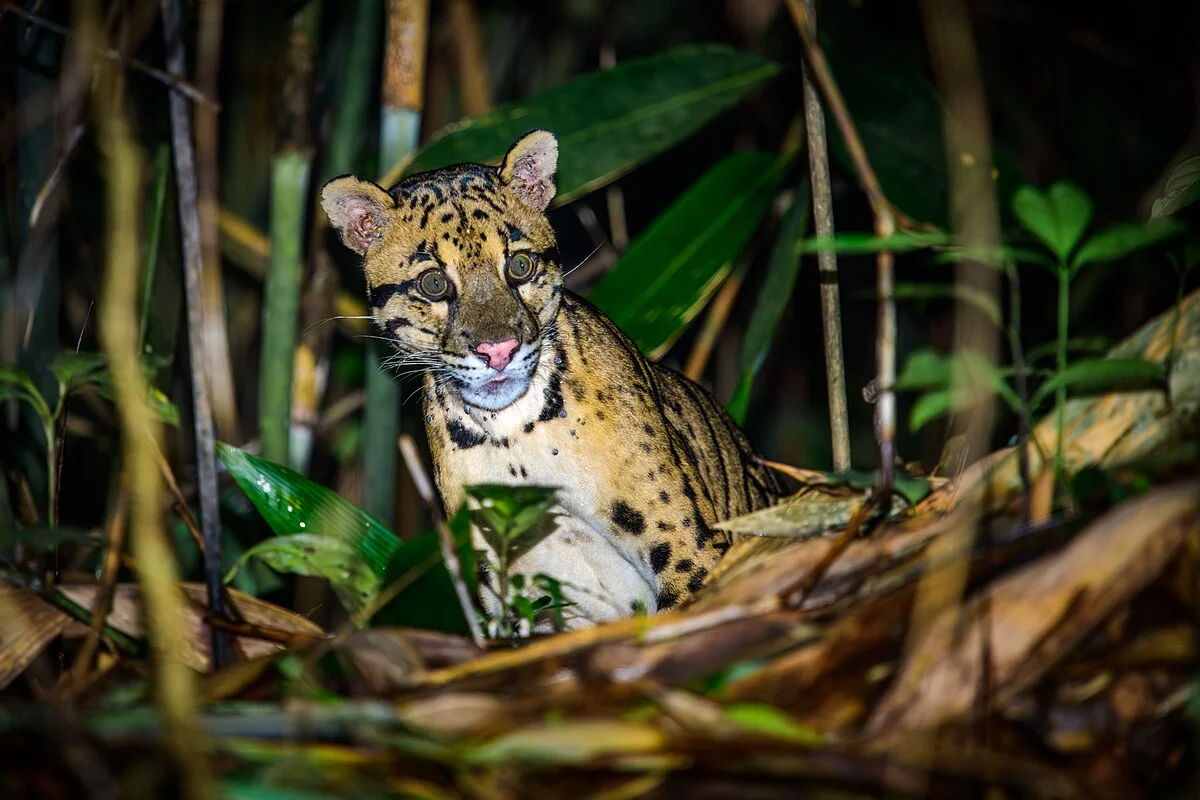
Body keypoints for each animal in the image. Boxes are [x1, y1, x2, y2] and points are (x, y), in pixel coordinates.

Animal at [321, 129, 784, 632]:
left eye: (520, 266)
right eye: (433, 284)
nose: (498, 350)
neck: (513, 437)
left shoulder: (687, 550)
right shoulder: (514, 597)